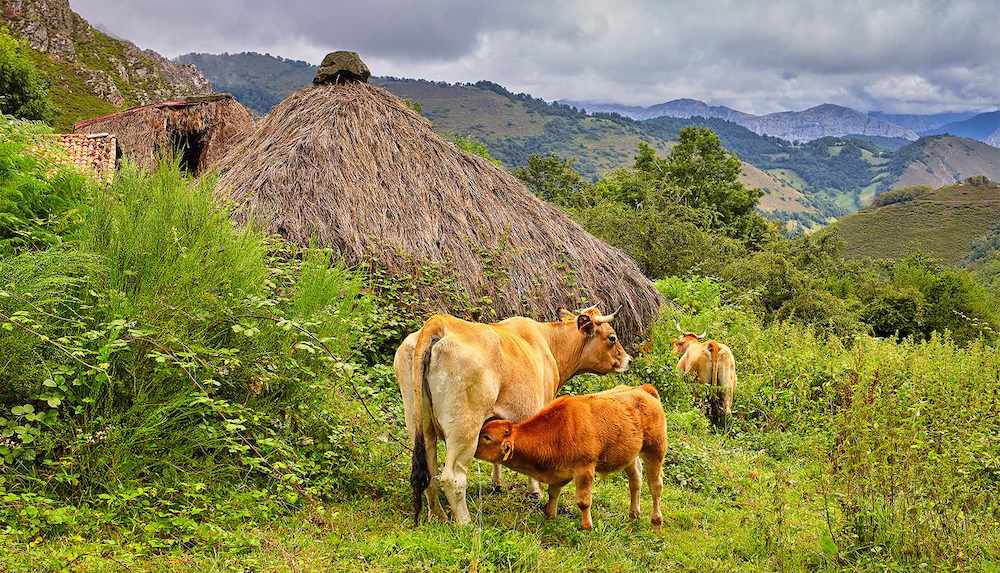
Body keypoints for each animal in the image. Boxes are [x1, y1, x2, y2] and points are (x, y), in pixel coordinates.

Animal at [394, 306, 628, 524]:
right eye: (612, 337)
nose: (628, 359)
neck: (550, 344)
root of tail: (439, 322)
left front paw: (498, 484)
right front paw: (535, 491)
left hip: (419, 422)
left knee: (430, 472)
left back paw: (438, 516)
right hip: (464, 428)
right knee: (452, 478)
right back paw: (465, 523)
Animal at [474, 382, 664, 528]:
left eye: (487, 437)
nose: (472, 447)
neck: (558, 429)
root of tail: (643, 389)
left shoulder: (585, 468)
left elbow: (583, 501)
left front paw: (586, 526)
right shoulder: (558, 471)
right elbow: (553, 492)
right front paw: (550, 515)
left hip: (655, 450)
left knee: (655, 486)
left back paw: (656, 520)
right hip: (630, 455)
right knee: (635, 480)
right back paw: (633, 514)